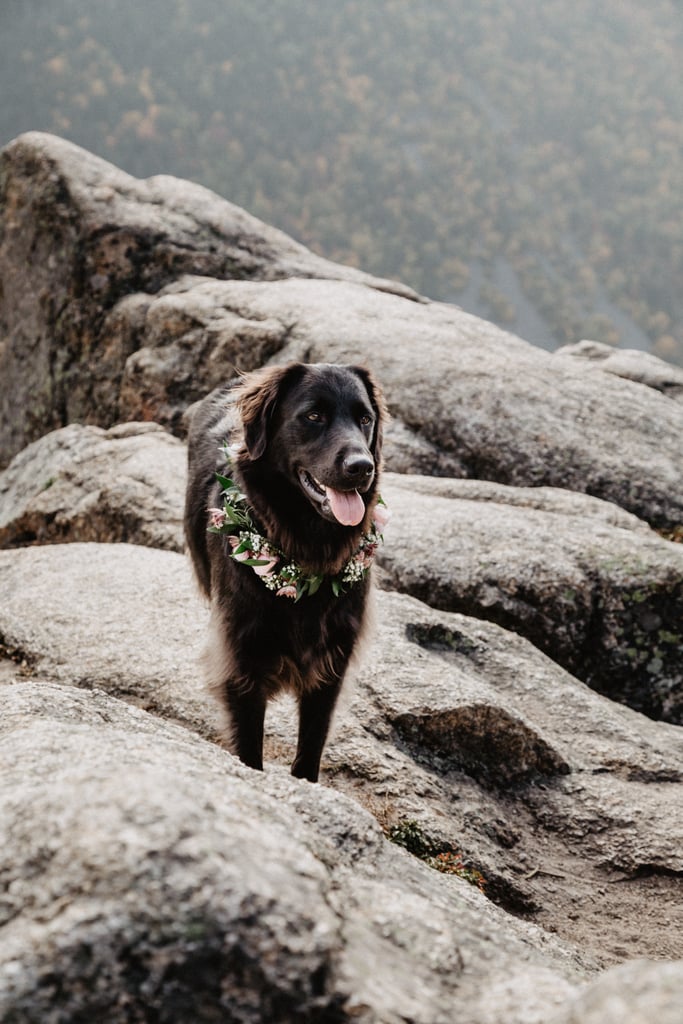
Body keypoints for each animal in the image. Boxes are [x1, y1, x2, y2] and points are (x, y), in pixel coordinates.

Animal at [184, 364, 387, 778]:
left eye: (365, 419)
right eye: (314, 416)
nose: (362, 467)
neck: (307, 553)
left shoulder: (334, 660)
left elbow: (312, 740)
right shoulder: (240, 657)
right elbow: (249, 746)